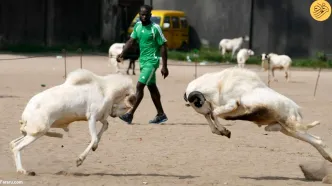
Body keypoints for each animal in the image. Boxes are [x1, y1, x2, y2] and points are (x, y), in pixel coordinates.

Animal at [183, 67, 332, 163]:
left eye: (198, 103)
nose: (205, 111)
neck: (219, 85)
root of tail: (296, 109)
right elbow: (214, 117)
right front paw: (222, 132)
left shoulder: (232, 104)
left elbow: (215, 114)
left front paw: (224, 131)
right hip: (288, 130)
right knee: (317, 140)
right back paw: (328, 158)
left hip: (292, 127)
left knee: (317, 140)